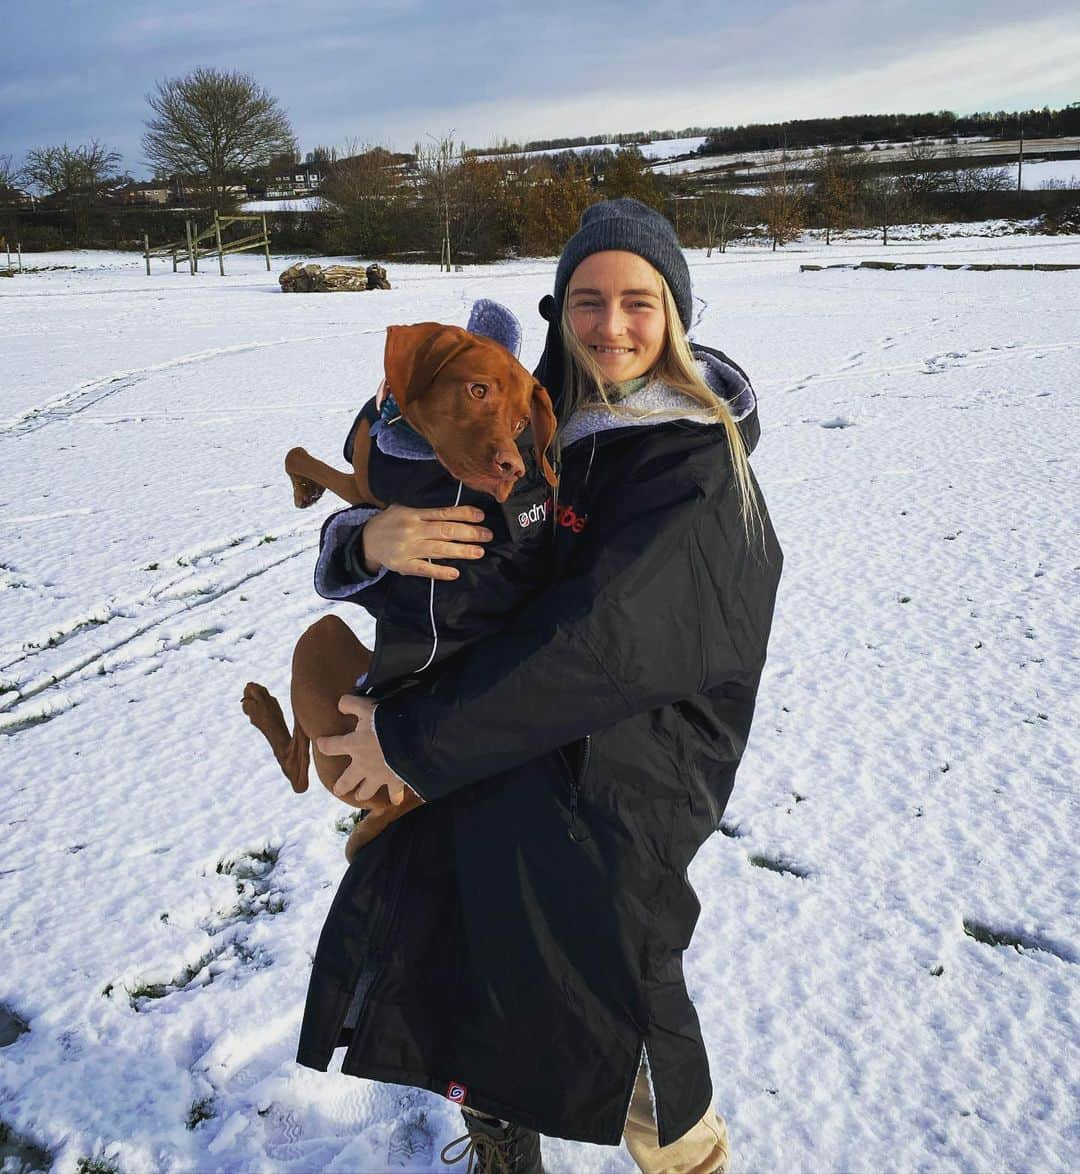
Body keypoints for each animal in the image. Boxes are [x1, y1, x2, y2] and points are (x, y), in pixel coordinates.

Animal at [244, 326, 556, 859]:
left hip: (320, 648)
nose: (512, 468)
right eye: (478, 390)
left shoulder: (366, 485)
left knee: (298, 769)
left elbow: (299, 455)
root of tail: (407, 798)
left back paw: (258, 704)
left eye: (520, 420)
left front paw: (304, 488)